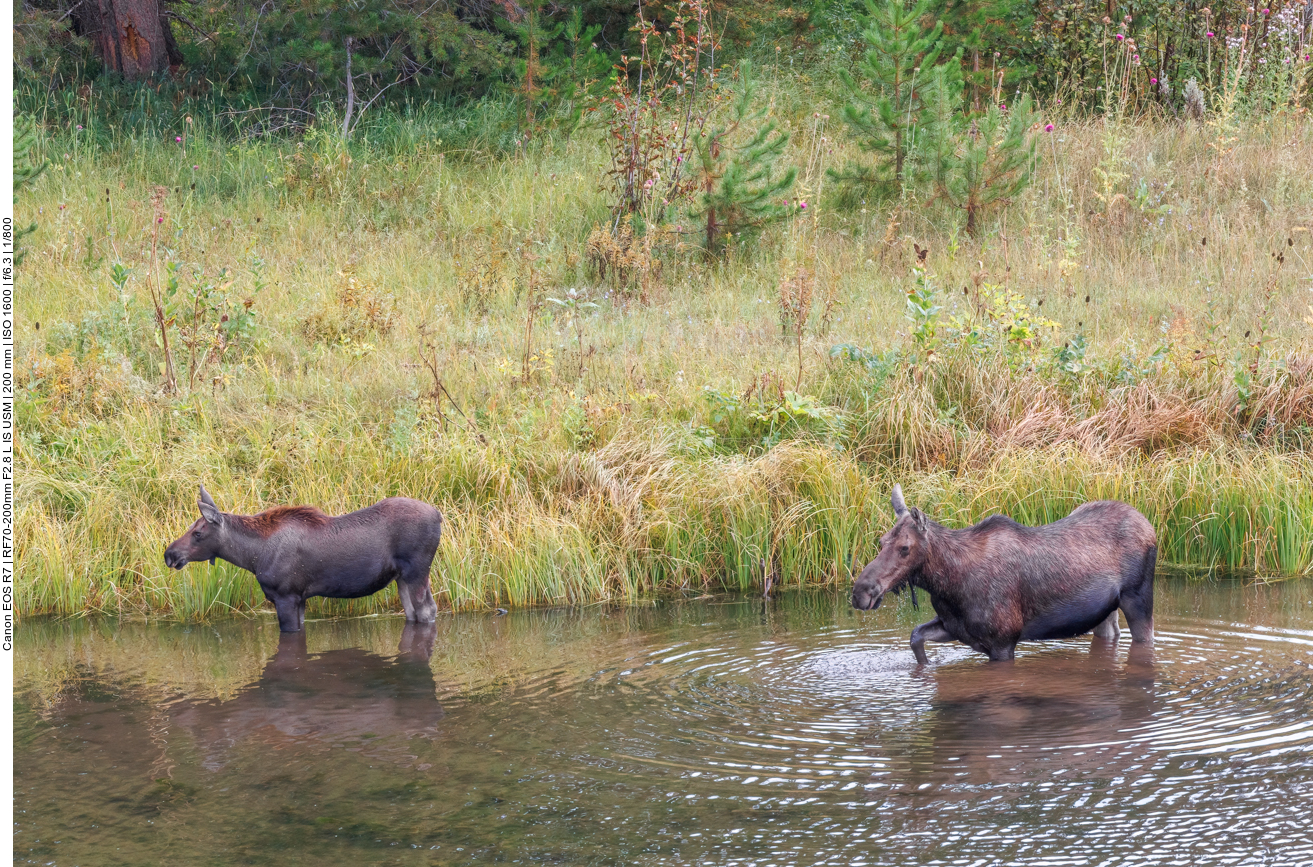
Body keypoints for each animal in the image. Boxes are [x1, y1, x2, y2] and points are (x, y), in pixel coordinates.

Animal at [162, 483, 441, 633]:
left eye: (197, 533)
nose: (169, 554)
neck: (252, 556)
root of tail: (439, 515)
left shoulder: (285, 596)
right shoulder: (301, 598)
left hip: (417, 572)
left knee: (427, 609)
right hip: (402, 577)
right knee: (414, 613)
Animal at [845, 488, 1155, 664]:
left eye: (905, 548)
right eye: (881, 541)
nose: (861, 592)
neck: (947, 584)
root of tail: (1149, 525)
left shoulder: (1003, 642)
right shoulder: (954, 627)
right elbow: (915, 637)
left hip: (1139, 598)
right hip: (1103, 610)